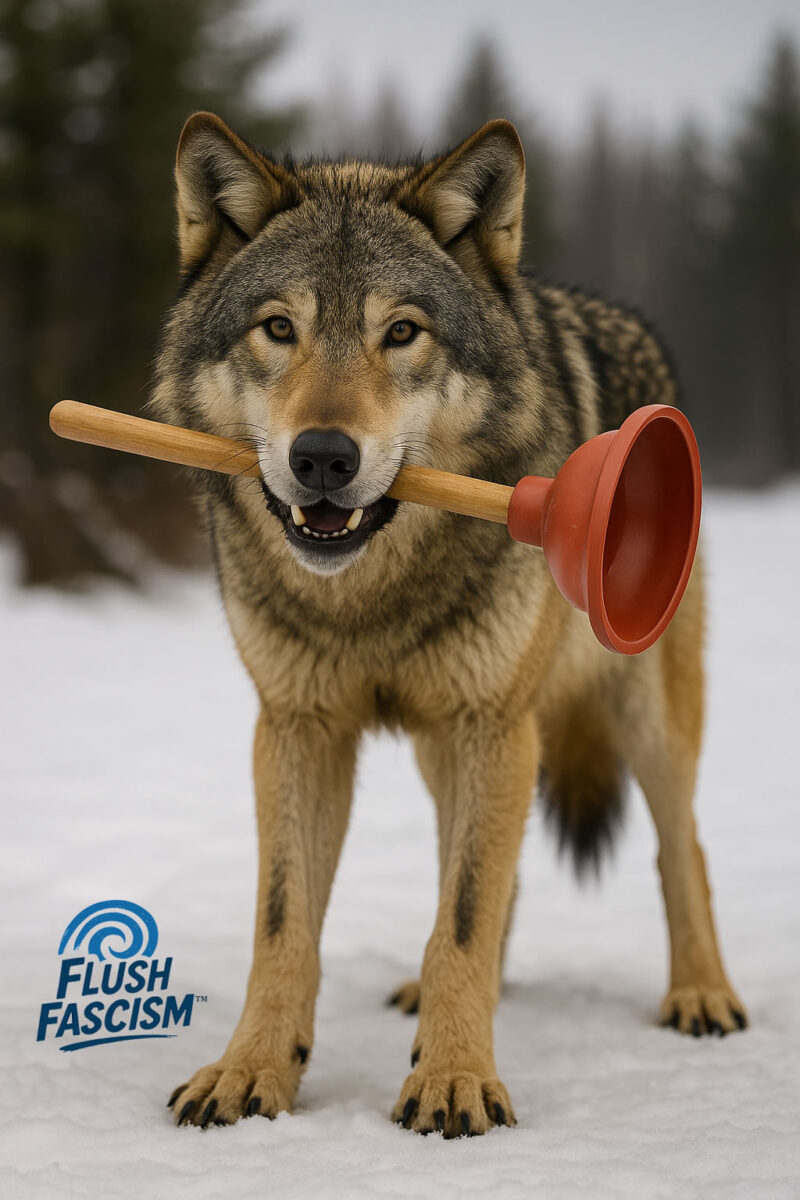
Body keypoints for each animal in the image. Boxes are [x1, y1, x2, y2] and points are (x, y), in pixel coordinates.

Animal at [153, 112, 747, 1137]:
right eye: (279, 328)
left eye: (402, 333)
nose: (321, 458)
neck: (369, 601)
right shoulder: (299, 730)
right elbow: (287, 924)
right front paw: (252, 1071)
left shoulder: (489, 725)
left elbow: (464, 916)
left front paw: (456, 1081)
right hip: (453, 747)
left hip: (640, 719)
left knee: (683, 849)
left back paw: (701, 995)